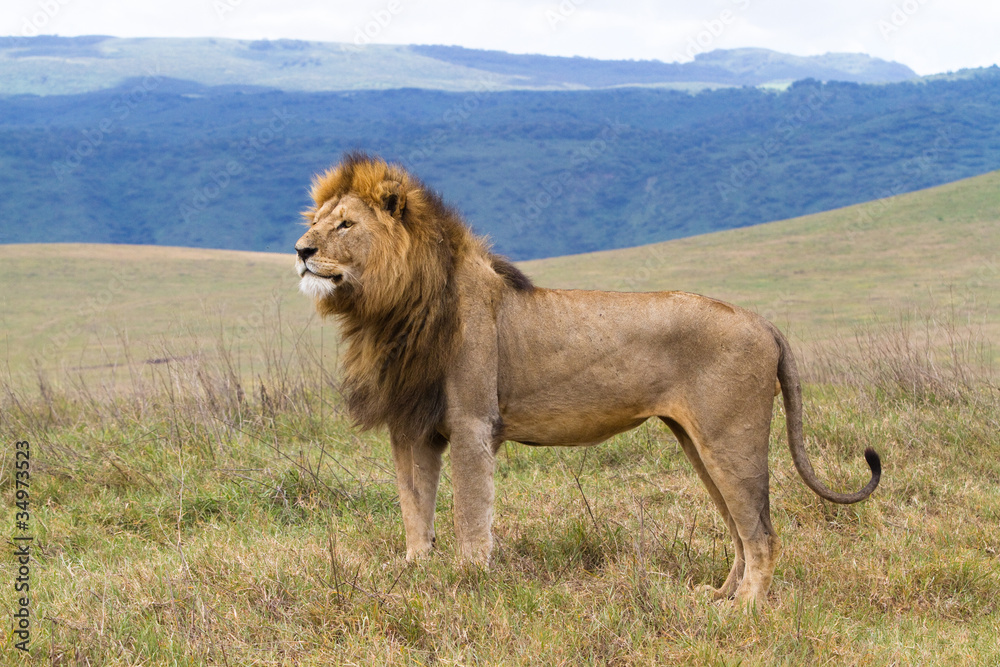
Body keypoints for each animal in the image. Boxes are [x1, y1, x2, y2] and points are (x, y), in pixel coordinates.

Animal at [294, 152, 881, 606]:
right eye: (318, 219)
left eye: (345, 225)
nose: (301, 250)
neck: (390, 310)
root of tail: (763, 322)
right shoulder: (411, 426)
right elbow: (415, 507)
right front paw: (414, 571)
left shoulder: (472, 423)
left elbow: (469, 514)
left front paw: (468, 579)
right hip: (698, 442)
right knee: (740, 530)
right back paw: (718, 596)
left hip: (731, 439)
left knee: (762, 534)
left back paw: (746, 609)